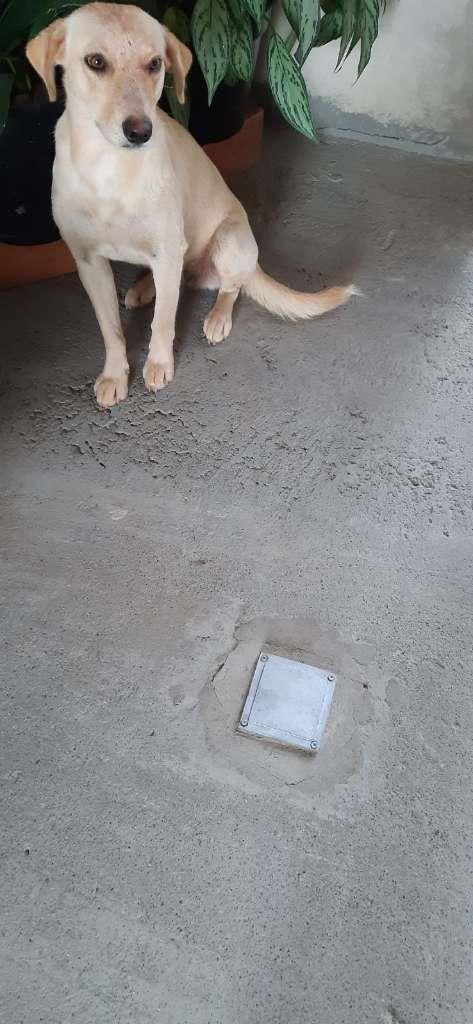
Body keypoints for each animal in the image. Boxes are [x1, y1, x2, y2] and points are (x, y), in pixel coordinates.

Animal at [27, 2, 356, 409]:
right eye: (95, 62)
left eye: (155, 64)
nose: (141, 131)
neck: (110, 170)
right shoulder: (89, 262)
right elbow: (111, 330)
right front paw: (115, 374)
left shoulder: (168, 250)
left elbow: (163, 322)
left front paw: (158, 364)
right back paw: (142, 289)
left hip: (228, 244)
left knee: (230, 288)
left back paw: (217, 317)